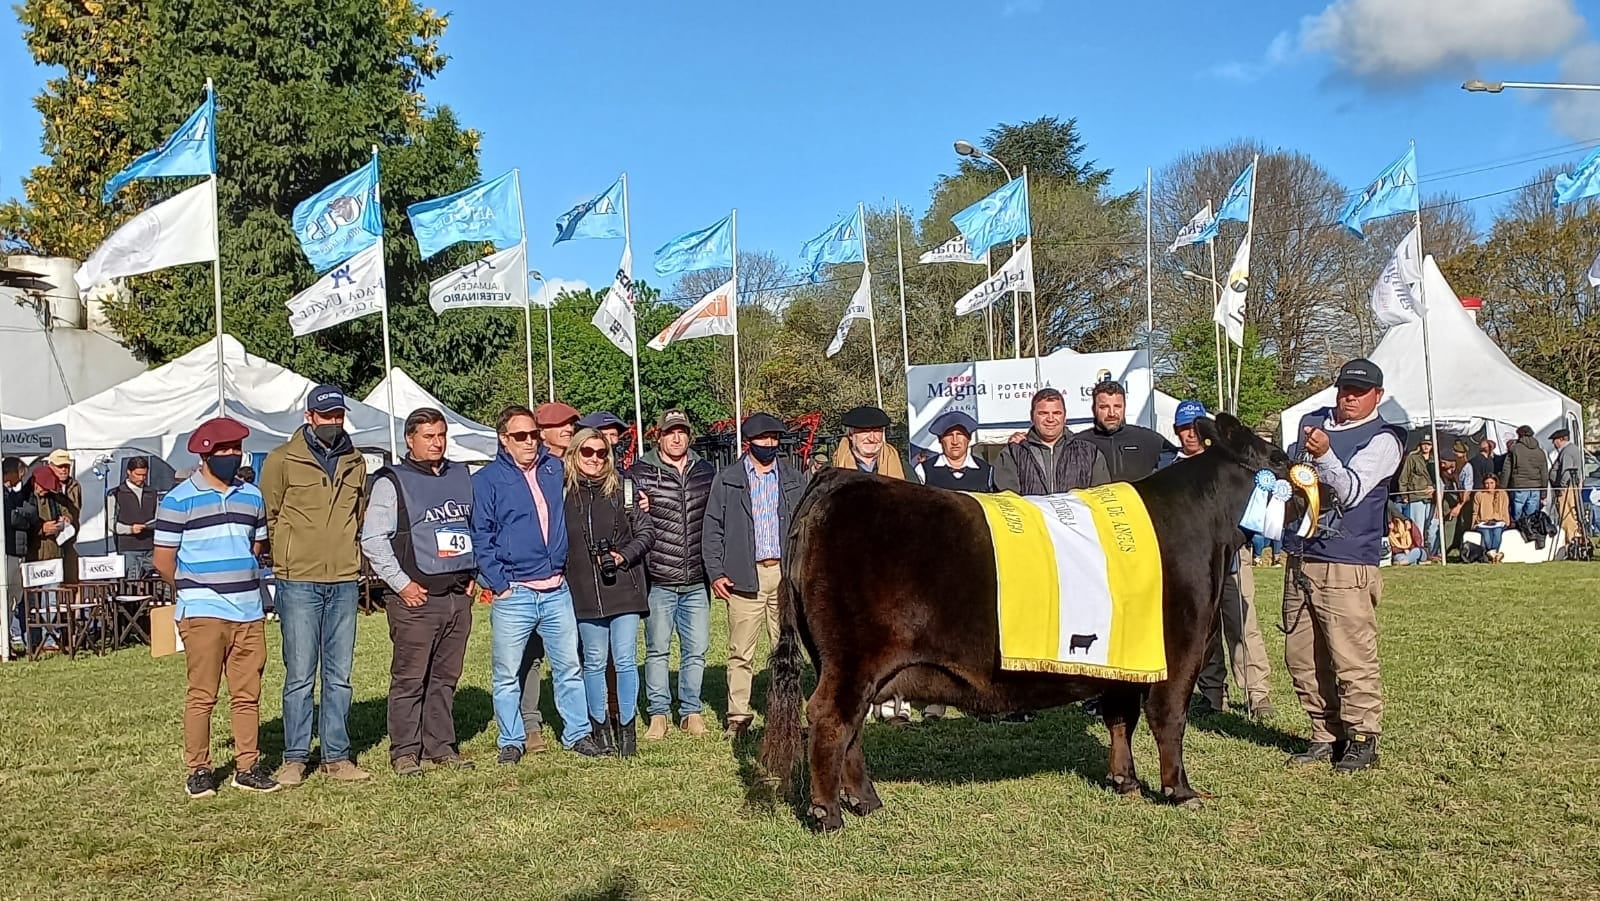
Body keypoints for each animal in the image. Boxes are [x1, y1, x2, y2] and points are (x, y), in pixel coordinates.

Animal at [755, 412, 1305, 832]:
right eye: (1277, 462)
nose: (1305, 482)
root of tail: (838, 479)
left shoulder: (1126, 655)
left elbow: (1120, 717)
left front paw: (1125, 782)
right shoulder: (1181, 647)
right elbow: (1169, 719)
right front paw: (1180, 791)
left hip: (858, 664)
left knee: (850, 729)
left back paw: (866, 801)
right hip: (852, 658)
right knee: (830, 718)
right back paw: (829, 814)